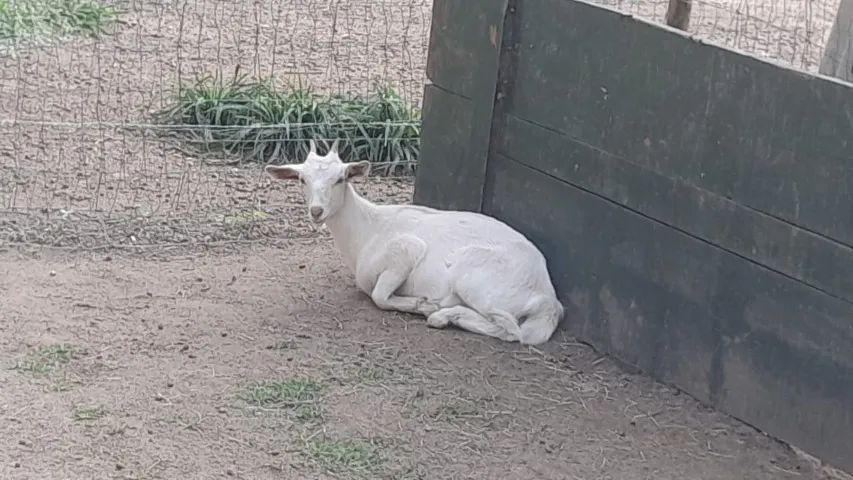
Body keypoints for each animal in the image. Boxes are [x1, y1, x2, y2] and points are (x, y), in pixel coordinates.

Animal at [265, 141, 563, 345]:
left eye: (340, 178)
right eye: (302, 178)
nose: (316, 211)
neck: (367, 231)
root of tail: (548, 301)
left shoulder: (406, 249)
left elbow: (379, 296)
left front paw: (421, 303)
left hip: (474, 278)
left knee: (512, 330)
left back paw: (439, 313)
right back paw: (445, 315)